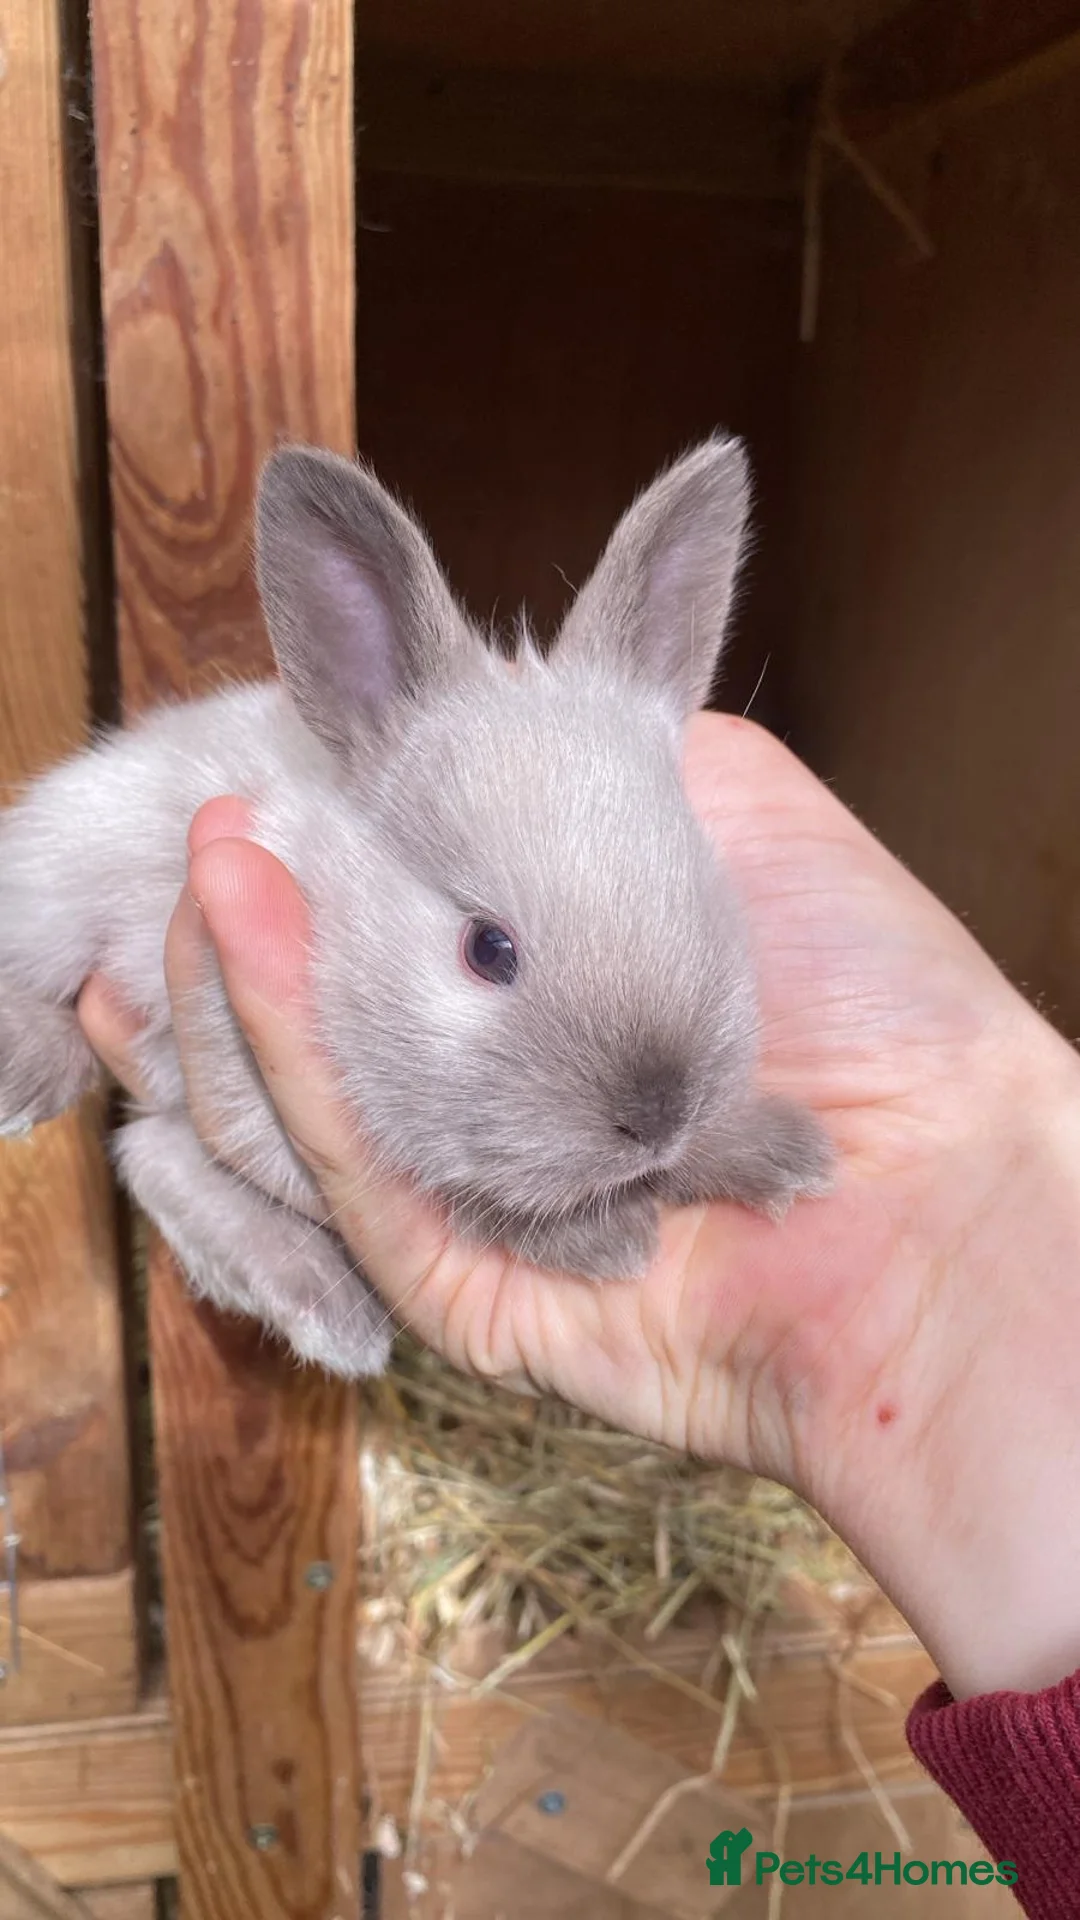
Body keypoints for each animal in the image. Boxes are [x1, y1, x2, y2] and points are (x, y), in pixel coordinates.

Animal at [0, 437, 832, 1378]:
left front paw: (775, 1153)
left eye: (694, 884)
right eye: (488, 949)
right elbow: (457, 1191)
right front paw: (605, 1240)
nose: (658, 1116)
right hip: (58, 890)